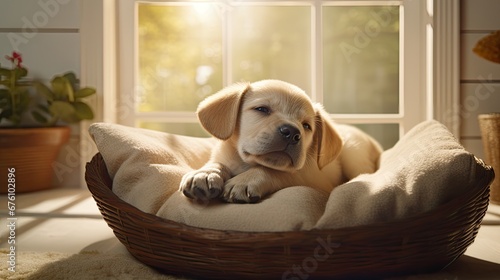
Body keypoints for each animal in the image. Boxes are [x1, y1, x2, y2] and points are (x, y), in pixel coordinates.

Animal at [181, 80, 382, 202]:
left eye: (306, 126)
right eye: (262, 109)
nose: (292, 132)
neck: (245, 164)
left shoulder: (315, 180)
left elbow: (275, 171)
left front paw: (245, 180)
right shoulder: (222, 157)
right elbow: (217, 163)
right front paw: (205, 173)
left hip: (353, 154)